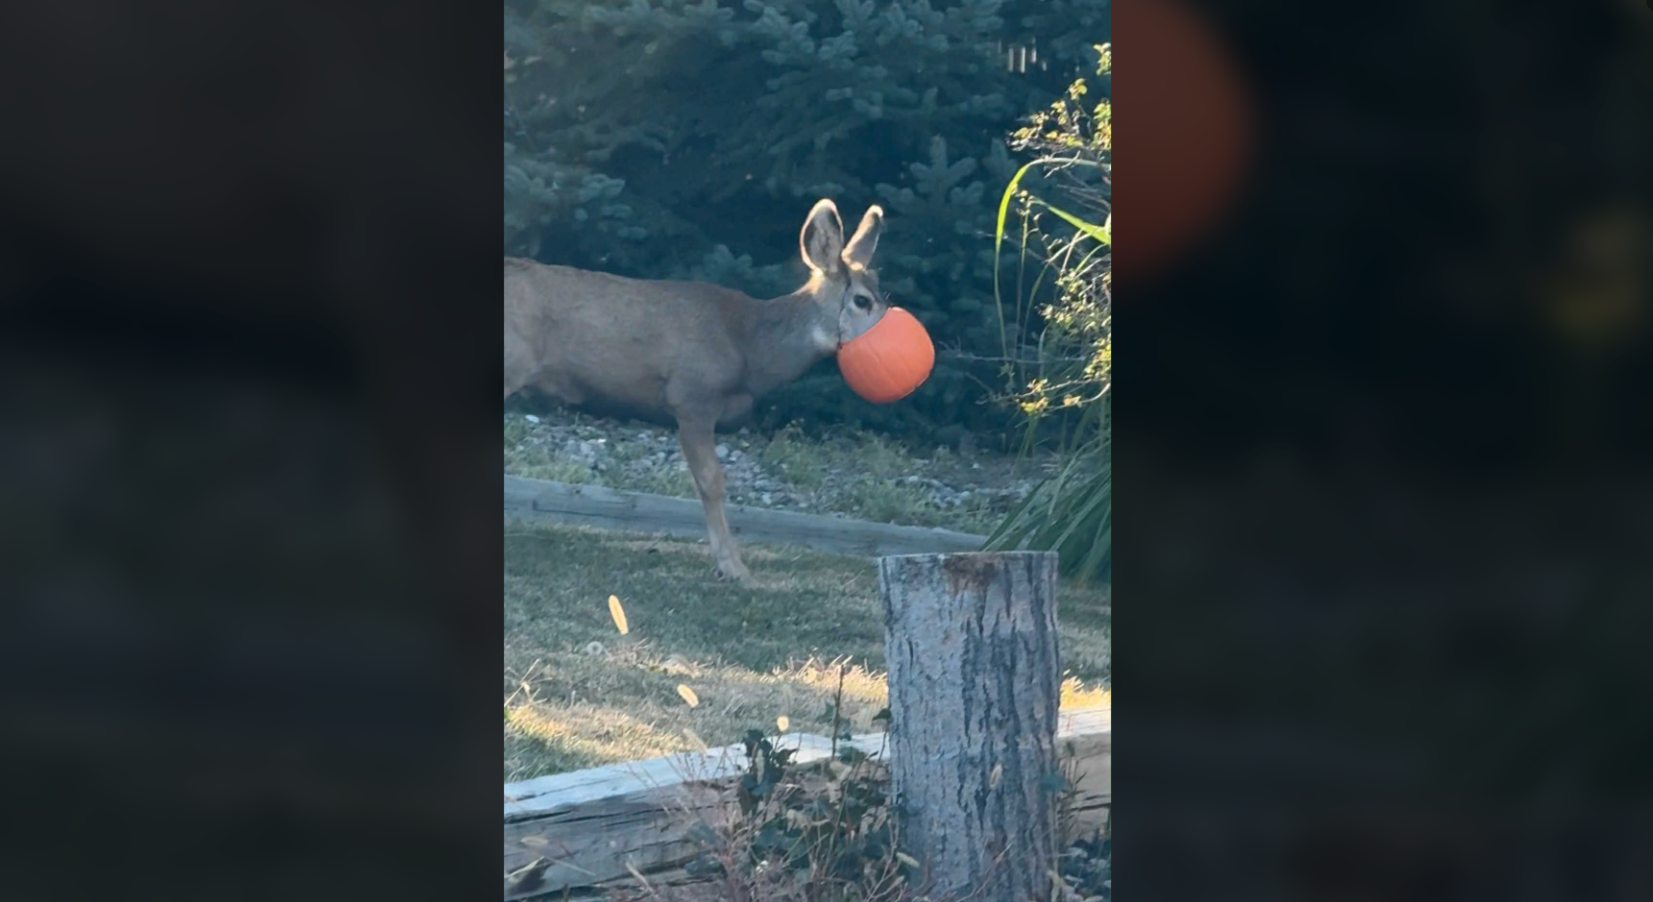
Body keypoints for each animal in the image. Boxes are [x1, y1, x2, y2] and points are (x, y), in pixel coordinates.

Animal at [504, 199, 890, 581]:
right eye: (862, 300)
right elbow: (711, 481)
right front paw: (734, 567)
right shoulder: (693, 398)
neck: (748, 345)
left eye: (882, 294)